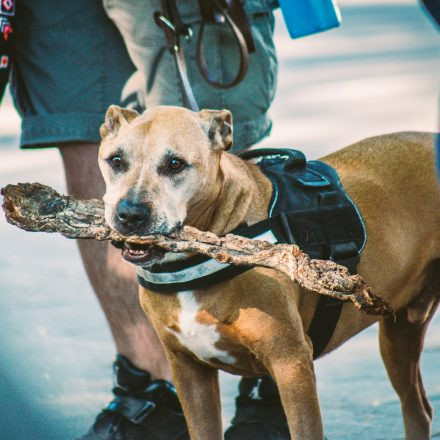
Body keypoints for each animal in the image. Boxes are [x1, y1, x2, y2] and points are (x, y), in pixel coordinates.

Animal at [98, 105, 438, 440]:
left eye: (174, 164)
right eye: (116, 160)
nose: (130, 214)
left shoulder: (290, 363)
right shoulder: (189, 372)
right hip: (399, 335)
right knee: (418, 409)